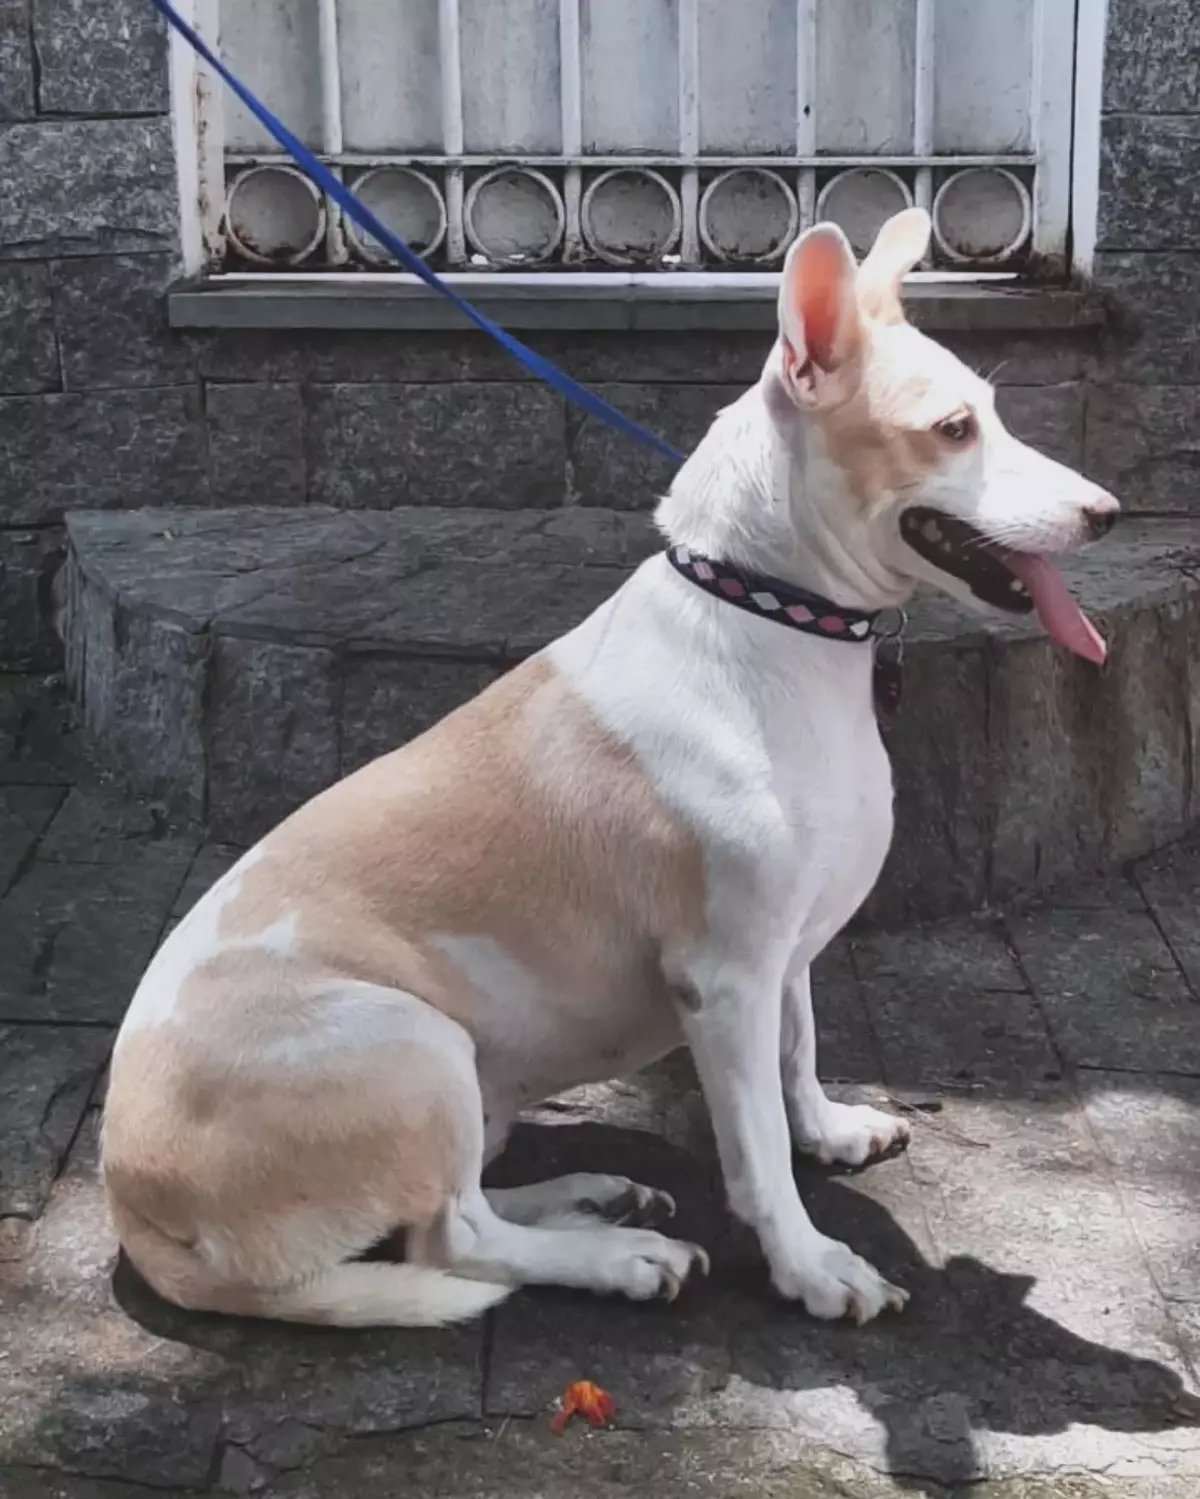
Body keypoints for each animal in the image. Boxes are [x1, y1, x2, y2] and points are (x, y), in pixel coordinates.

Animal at [102, 208, 1118, 1329]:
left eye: (992, 413)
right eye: (952, 429)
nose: (1108, 510)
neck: (769, 616)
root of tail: (131, 1207)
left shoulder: (785, 954)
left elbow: (800, 1053)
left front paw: (830, 1129)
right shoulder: (725, 977)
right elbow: (759, 1151)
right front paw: (812, 1265)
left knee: (460, 1209)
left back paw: (588, 1193)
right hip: (414, 1045)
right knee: (453, 1237)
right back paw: (620, 1254)